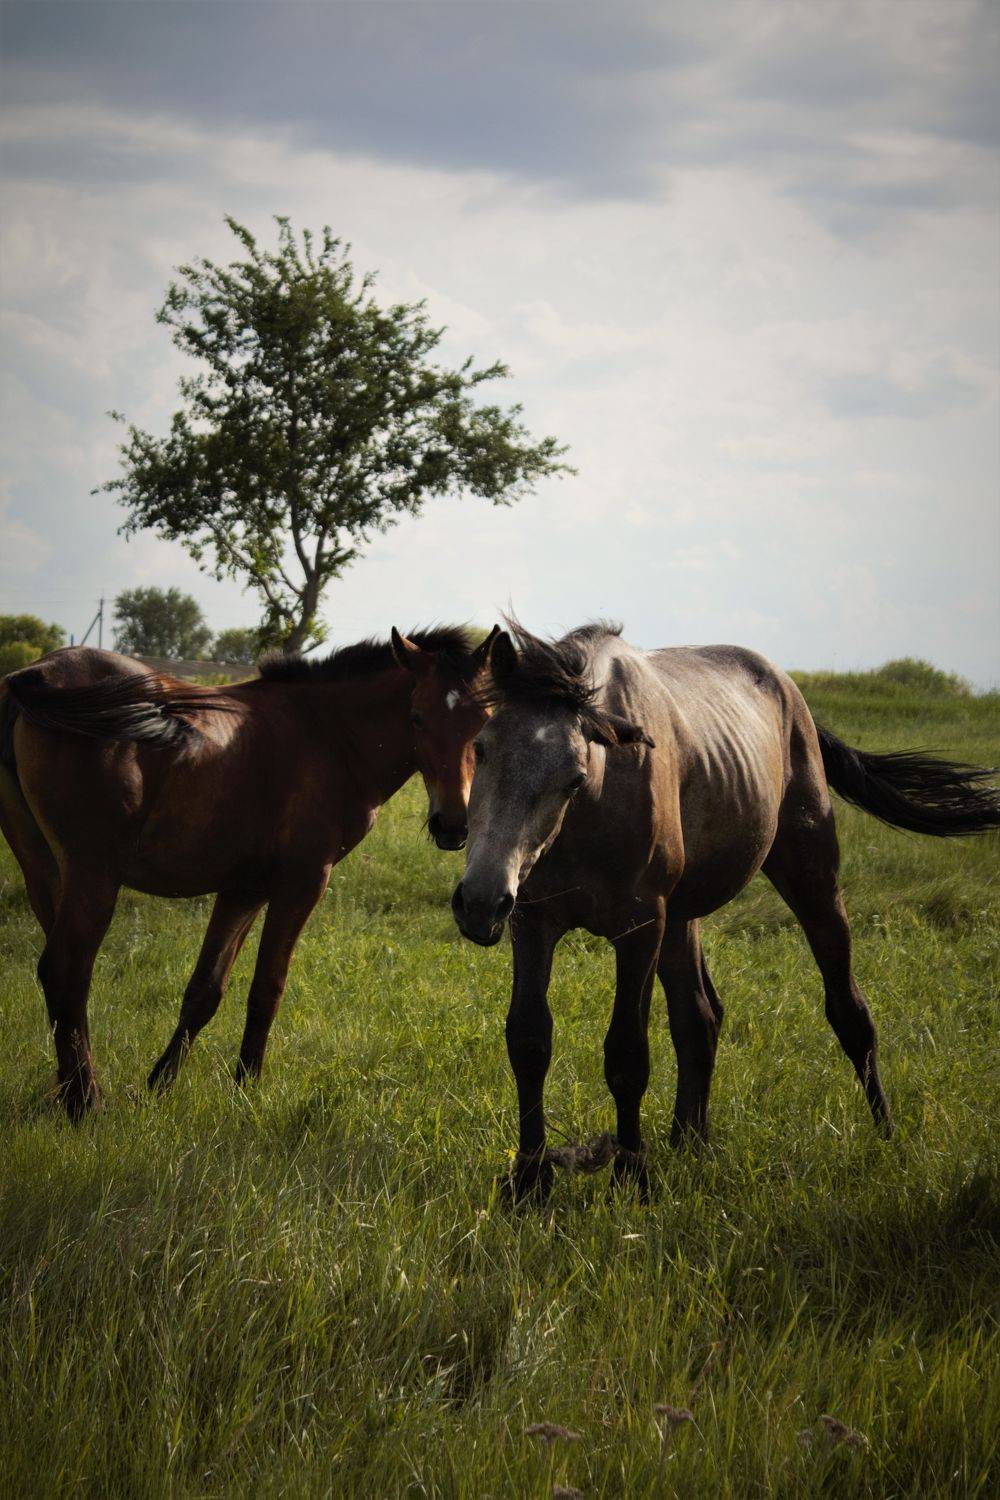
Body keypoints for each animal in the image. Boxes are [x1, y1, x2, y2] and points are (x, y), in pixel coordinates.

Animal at [0, 624, 498, 1118]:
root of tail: (38, 671)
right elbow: (267, 988)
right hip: (94, 874)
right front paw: (247, 1087)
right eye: (417, 718)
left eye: (485, 722)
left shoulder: (244, 889)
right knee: (66, 968)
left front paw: (160, 1085)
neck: (328, 736)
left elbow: (205, 991)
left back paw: (68, 1091)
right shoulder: (303, 882)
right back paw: (85, 1102)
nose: (452, 825)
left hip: (46, 872)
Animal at [451, 621, 999, 1200]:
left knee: (849, 1009)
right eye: (481, 749)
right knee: (700, 1016)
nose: (480, 899)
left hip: (811, 880)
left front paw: (631, 1177)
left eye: (574, 777)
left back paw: (886, 1133)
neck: (591, 812)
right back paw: (689, 1141)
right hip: (681, 920)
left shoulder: (639, 929)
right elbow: (529, 1041)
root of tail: (791, 694)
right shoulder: (533, 923)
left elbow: (627, 1055)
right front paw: (529, 1183)